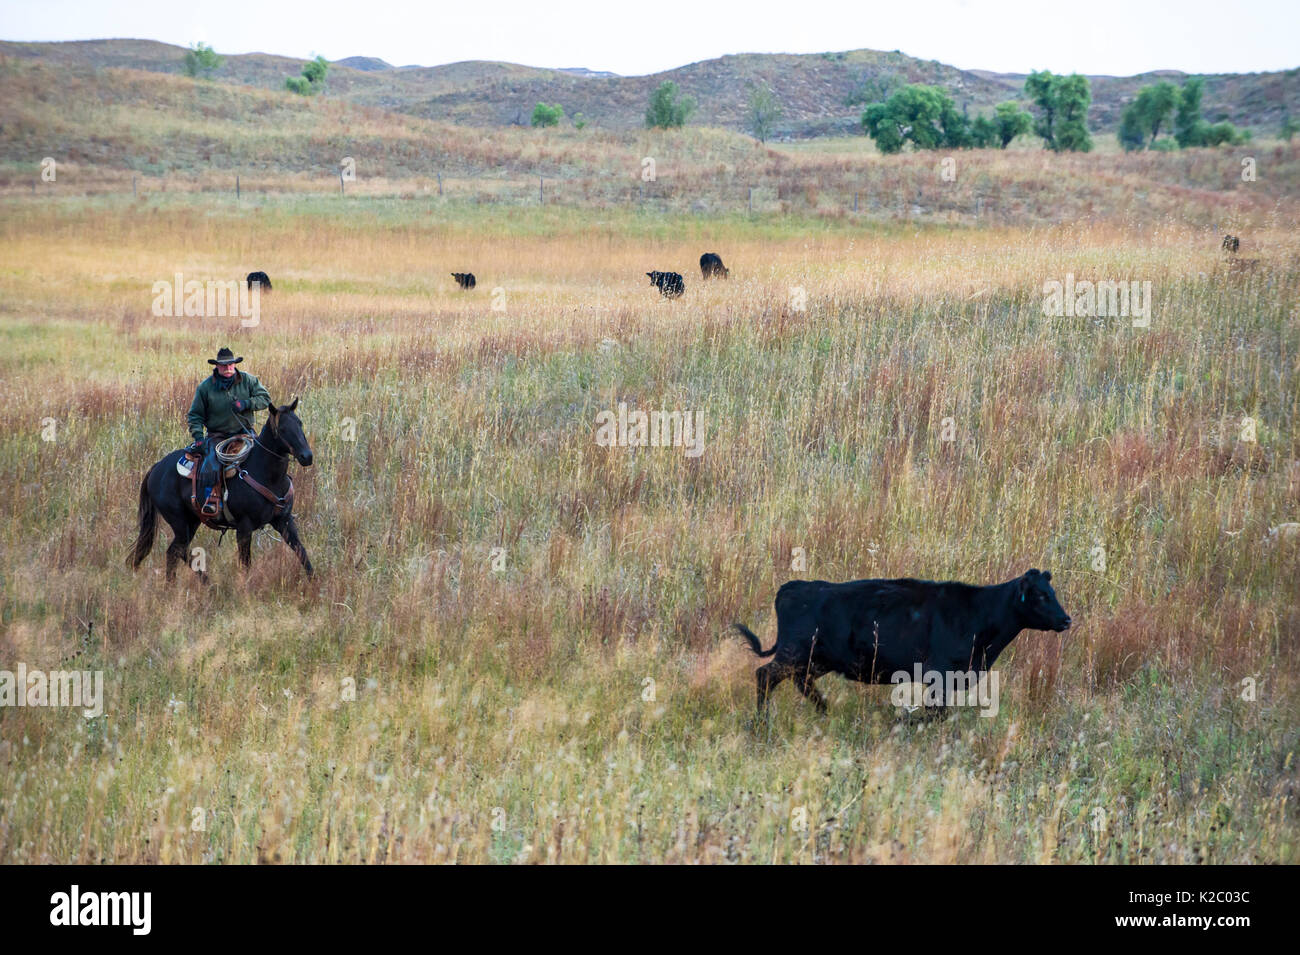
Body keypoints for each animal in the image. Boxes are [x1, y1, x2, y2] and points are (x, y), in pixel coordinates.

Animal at [128, 400, 315, 579]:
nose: (307, 456)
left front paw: (314, 583)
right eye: (282, 429)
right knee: (177, 550)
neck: (269, 476)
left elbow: (303, 554)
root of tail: (156, 468)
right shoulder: (244, 528)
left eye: (300, 423)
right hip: (179, 521)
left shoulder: (284, 521)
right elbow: (245, 564)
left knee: (175, 552)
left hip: (192, 520)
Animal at [738, 566, 1071, 717]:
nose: (1066, 619)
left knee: (800, 682)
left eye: (1052, 592)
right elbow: (935, 714)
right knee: (764, 675)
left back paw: (824, 710)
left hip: (815, 659)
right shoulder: (940, 674)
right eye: (1041, 596)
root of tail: (792, 587)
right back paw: (761, 722)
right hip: (793, 652)